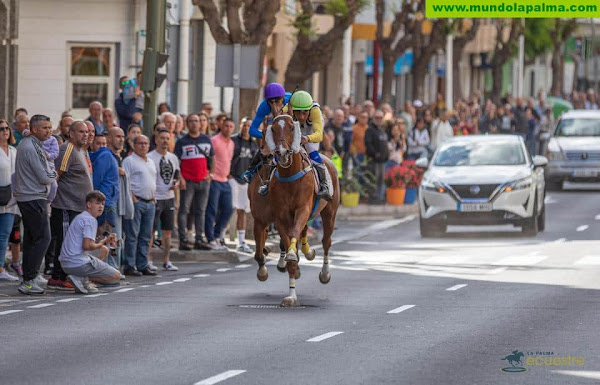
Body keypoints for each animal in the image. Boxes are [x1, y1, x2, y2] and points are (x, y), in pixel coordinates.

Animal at [251, 114, 340, 306]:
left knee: (326, 241)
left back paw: (324, 273)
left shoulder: (302, 209)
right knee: (304, 233)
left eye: (292, 128)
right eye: (273, 129)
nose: (282, 153)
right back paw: (307, 253)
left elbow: (294, 234)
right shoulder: (281, 215)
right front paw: (291, 295)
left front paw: (292, 256)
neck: (290, 176)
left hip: (329, 213)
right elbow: (288, 240)